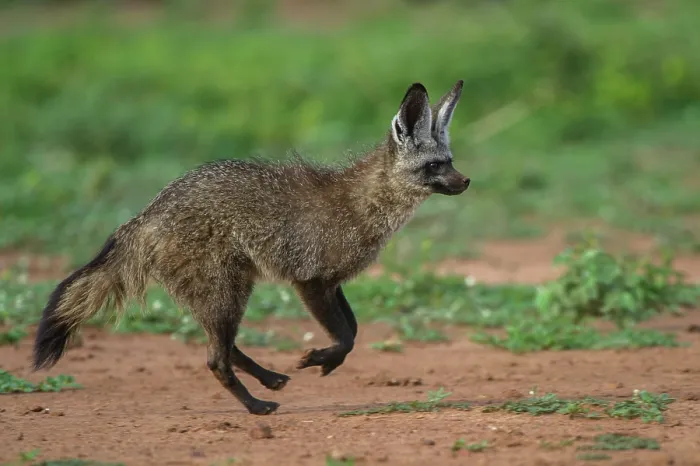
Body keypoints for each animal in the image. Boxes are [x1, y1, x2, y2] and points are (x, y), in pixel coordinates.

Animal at [32, 80, 470, 415]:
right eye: (435, 166)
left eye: (450, 160)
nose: (467, 182)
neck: (364, 203)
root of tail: (145, 215)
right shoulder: (310, 281)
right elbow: (346, 335)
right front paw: (323, 358)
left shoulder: (333, 282)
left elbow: (355, 331)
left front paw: (328, 361)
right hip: (227, 293)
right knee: (216, 359)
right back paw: (256, 406)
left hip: (228, 293)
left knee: (226, 349)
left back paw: (270, 380)